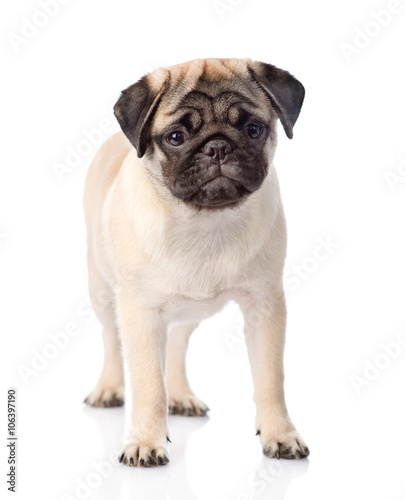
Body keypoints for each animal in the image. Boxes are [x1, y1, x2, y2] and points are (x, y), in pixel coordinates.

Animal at [83, 57, 308, 464]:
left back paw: (181, 395)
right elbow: (147, 384)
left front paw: (280, 434)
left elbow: (270, 379)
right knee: (111, 339)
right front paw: (146, 441)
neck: (205, 222)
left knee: (176, 344)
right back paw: (109, 389)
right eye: (176, 138)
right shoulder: (139, 313)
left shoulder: (265, 307)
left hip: (188, 312)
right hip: (103, 292)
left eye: (253, 129)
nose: (217, 147)